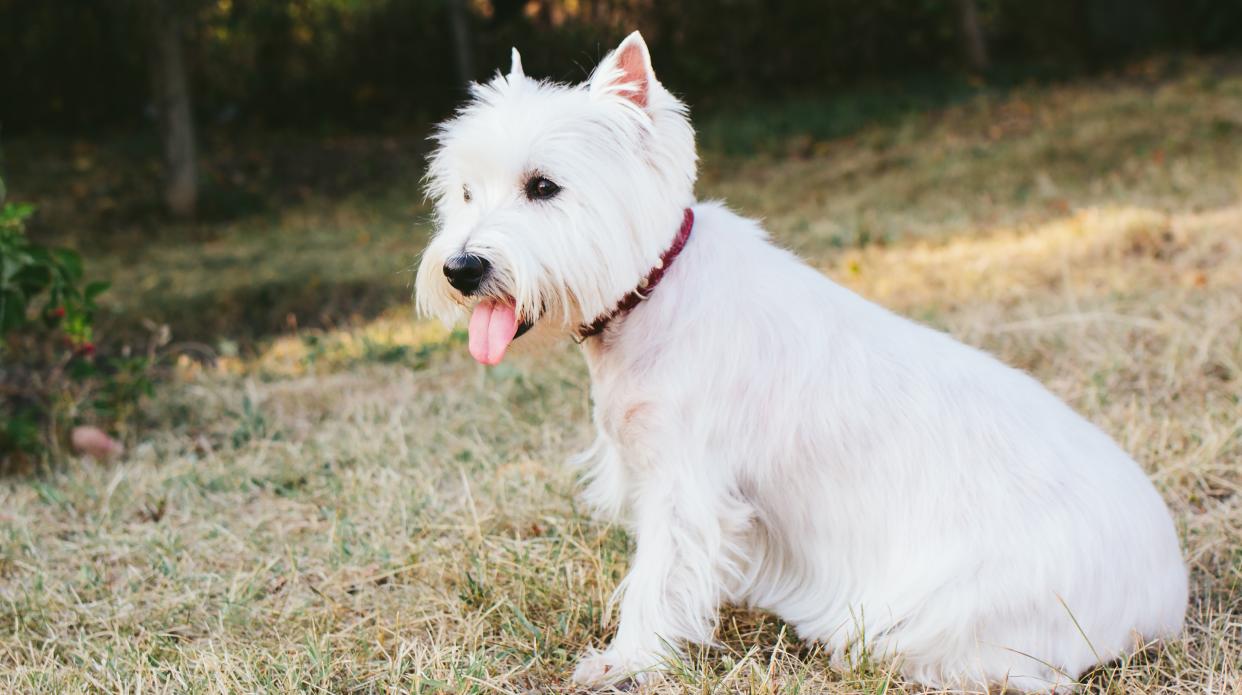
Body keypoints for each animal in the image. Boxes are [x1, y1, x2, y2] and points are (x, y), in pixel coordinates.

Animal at [414, 31, 1182, 690]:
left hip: (952, 607)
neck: (652, 293)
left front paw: (625, 661)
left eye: (544, 186)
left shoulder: (684, 485)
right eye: (465, 192)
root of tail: (1165, 592)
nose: (461, 268)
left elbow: (657, 577)